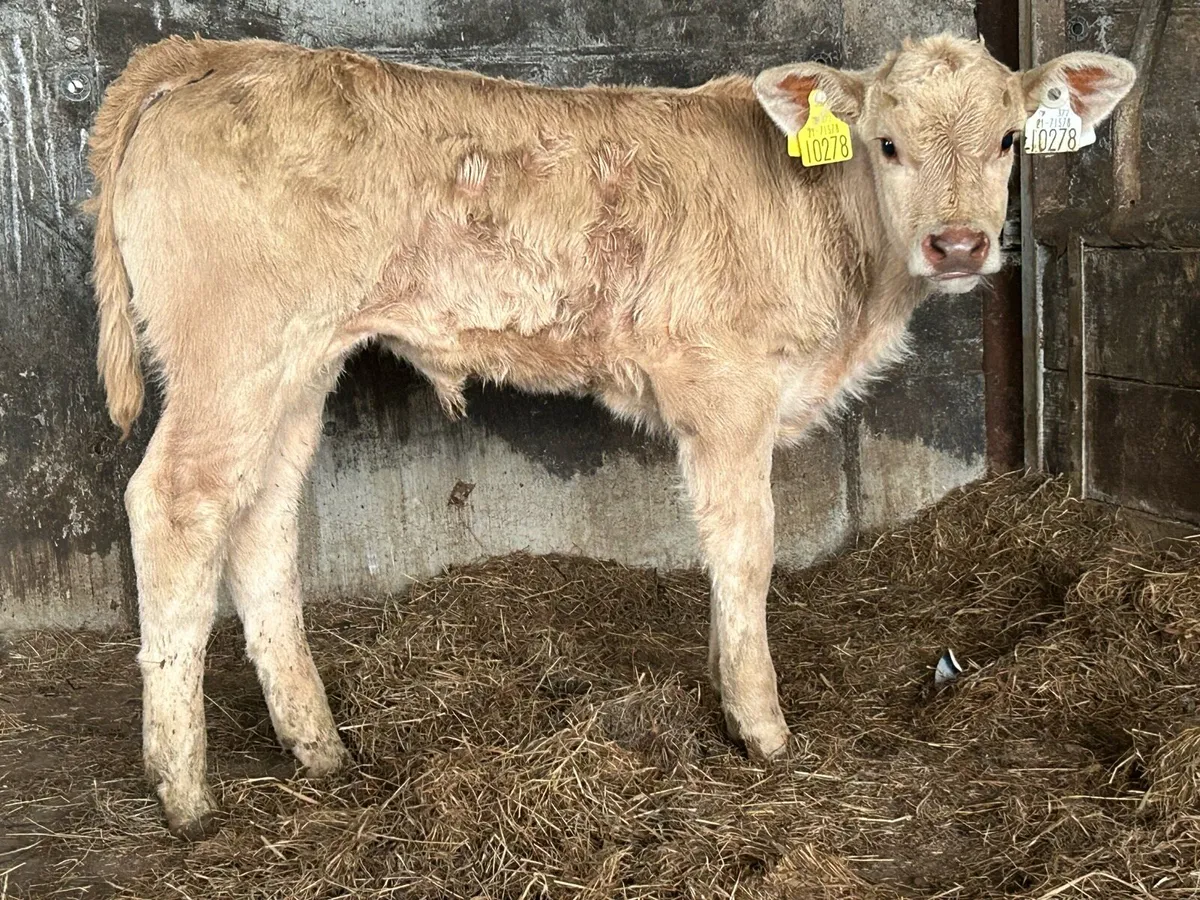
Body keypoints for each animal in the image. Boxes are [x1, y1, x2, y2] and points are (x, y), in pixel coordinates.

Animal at [85, 32, 1135, 838]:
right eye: (885, 143)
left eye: (1009, 140)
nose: (958, 245)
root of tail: (217, 53)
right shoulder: (728, 390)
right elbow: (746, 549)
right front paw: (760, 726)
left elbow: (718, 557)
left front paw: (721, 686)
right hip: (233, 354)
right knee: (177, 504)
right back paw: (184, 793)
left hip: (299, 365)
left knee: (261, 516)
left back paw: (320, 749)